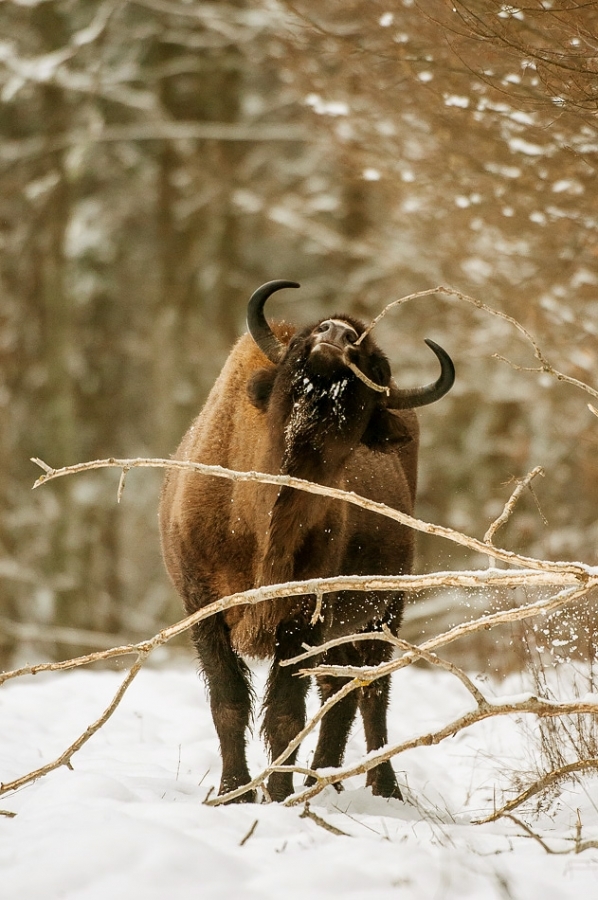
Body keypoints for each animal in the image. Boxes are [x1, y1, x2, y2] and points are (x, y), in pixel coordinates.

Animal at [159, 280, 454, 802]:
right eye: (306, 339)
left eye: (375, 365)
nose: (337, 335)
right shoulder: (204, 610)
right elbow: (229, 704)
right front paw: (234, 792)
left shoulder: (299, 621)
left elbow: (285, 712)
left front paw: (277, 795)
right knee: (342, 695)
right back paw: (326, 782)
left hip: (382, 612)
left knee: (369, 694)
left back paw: (381, 787)